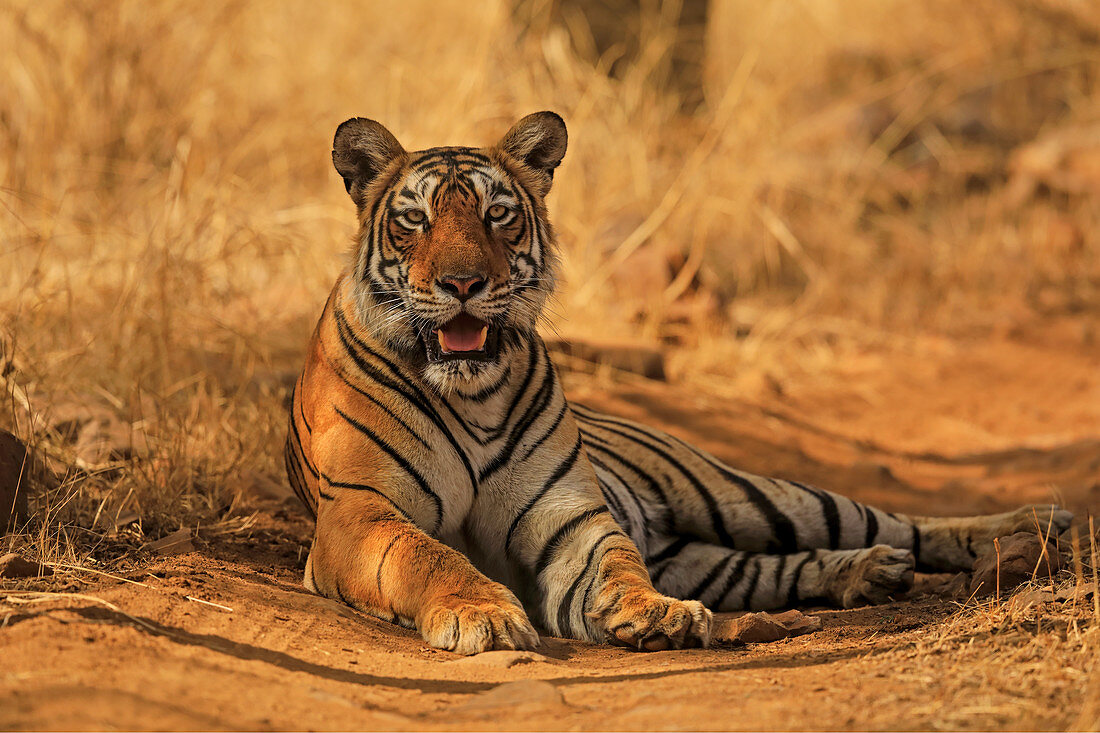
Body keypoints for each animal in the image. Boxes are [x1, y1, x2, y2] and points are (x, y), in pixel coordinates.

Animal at [283, 111, 1073, 651]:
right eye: (414, 221)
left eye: (497, 216)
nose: (463, 283)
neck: (471, 390)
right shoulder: (361, 512)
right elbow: (429, 553)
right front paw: (483, 613)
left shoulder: (570, 514)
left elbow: (614, 564)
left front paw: (651, 612)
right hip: (708, 554)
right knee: (778, 568)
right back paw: (871, 573)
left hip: (747, 494)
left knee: (895, 522)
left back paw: (1030, 524)